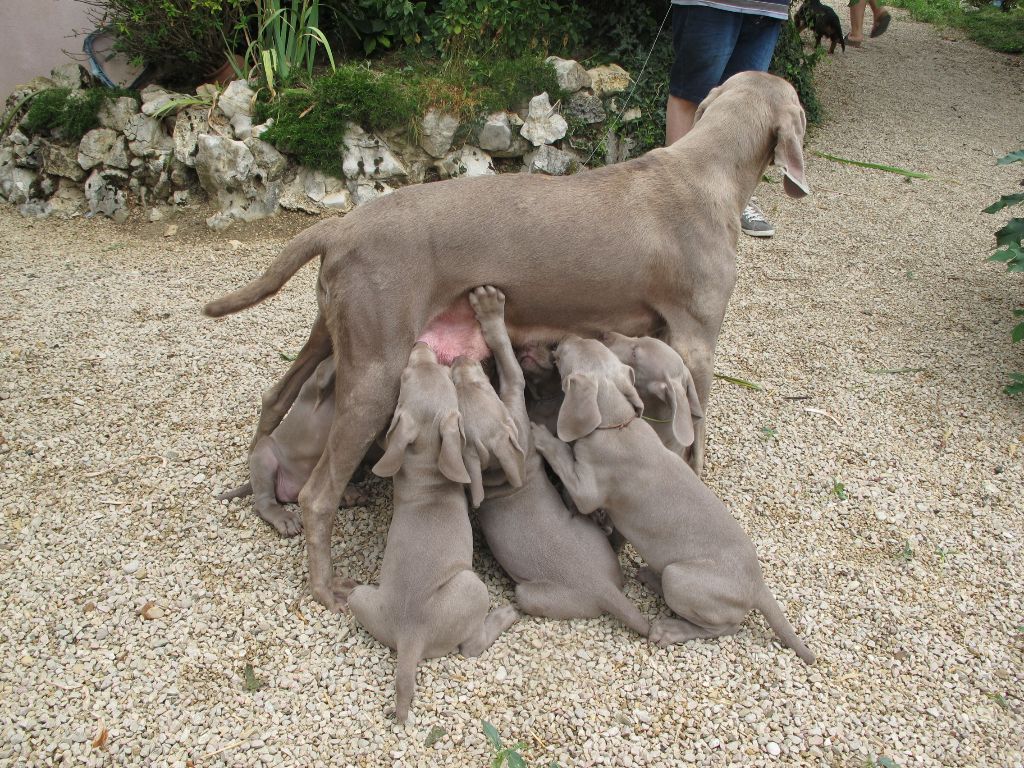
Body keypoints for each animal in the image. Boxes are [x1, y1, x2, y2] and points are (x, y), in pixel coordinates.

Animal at [344, 346, 520, 724]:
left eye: (439, 372)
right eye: (407, 375)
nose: (423, 346)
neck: (427, 465)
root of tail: (411, 636)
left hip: (361, 597)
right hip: (472, 587)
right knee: (471, 646)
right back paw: (505, 615)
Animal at [454, 288, 647, 638]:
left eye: (479, 386)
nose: (459, 360)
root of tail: (604, 590)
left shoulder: (515, 399)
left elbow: (509, 364)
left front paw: (490, 309)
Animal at [528, 335, 815, 667]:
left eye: (564, 355)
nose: (562, 339)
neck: (618, 425)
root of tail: (758, 586)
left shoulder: (587, 487)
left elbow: (564, 460)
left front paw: (543, 436)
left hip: (681, 578)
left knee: (725, 626)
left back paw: (670, 628)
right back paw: (650, 578)